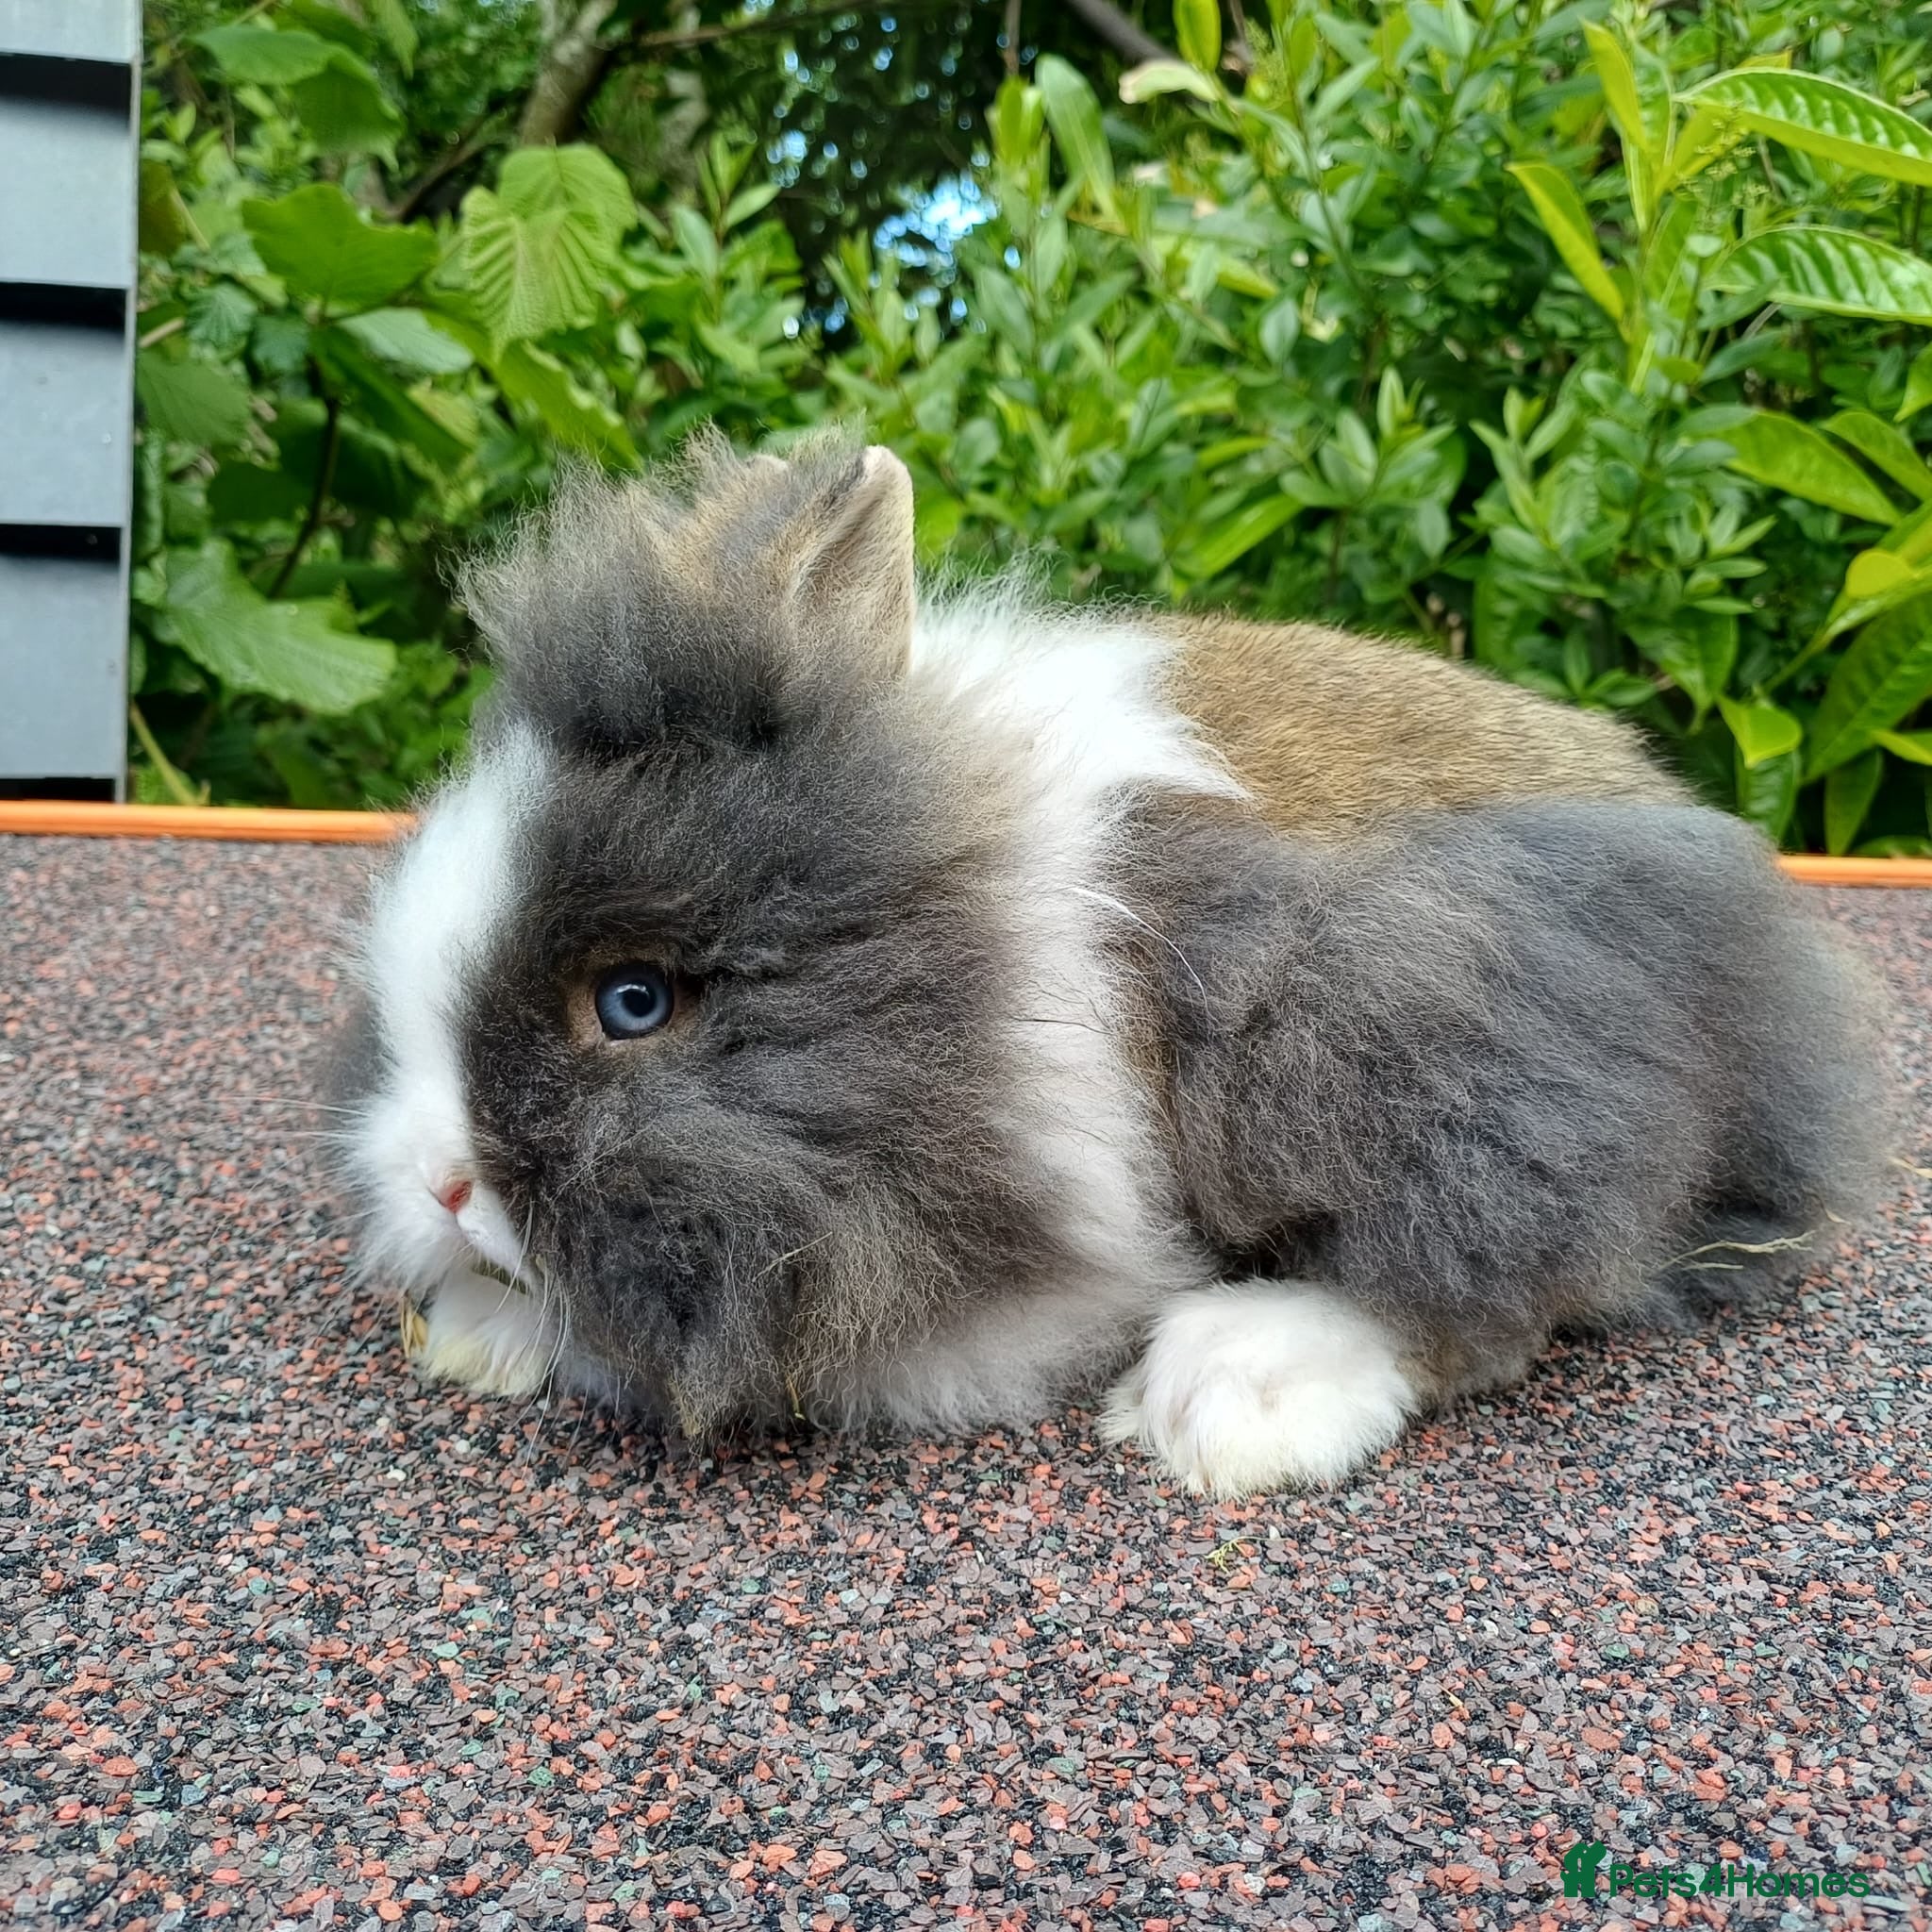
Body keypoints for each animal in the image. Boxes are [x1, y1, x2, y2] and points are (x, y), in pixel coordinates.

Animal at [335, 435, 1892, 1497]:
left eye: (634, 999)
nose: (440, 1181)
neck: (983, 917)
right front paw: (478, 1326)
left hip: (1436, 1019)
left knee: (1514, 1264)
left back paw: (1232, 1396)